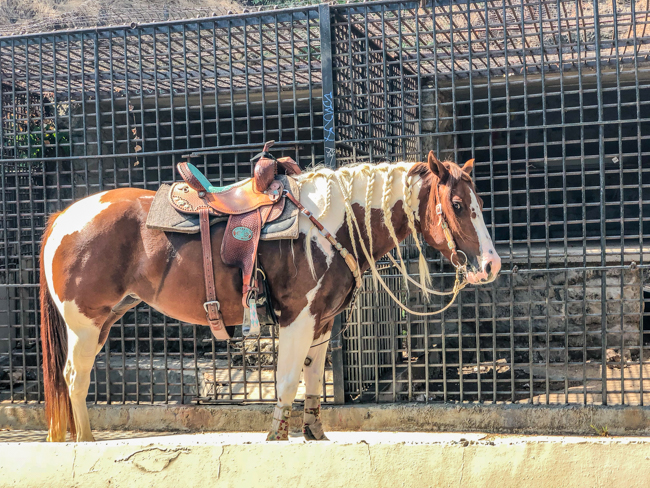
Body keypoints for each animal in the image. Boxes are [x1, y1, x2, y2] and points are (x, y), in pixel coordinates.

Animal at [39, 152, 496, 442]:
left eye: (478, 201)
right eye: (457, 204)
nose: (491, 264)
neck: (329, 225)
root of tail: (62, 218)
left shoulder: (322, 322)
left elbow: (313, 379)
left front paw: (314, 433)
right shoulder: (297, 317)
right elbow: (288, 380)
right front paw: (277, 436)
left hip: (103, 322)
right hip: (84, 324)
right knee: (75, 378)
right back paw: (86, 441)